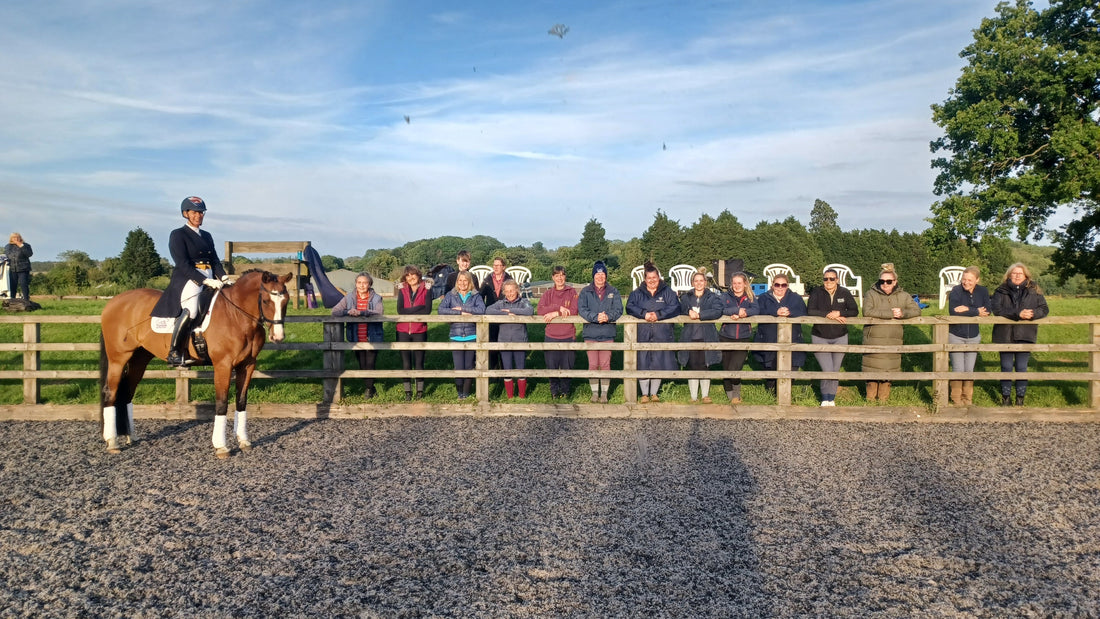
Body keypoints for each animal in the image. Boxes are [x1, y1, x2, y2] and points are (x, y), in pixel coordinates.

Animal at [99, 269, 292, 457]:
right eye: (266, 300)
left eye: (286, 301)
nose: (278, 337)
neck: (236, 316)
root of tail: (112, 302)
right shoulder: (223, 365)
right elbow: (222, 402)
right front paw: (221, 447)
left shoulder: (247, 365)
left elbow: (241, 400)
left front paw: (243, 441)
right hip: (118, 358)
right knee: (111, 392)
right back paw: (112, 442)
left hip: (140, 359)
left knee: (127, 393)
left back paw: (131, 437)